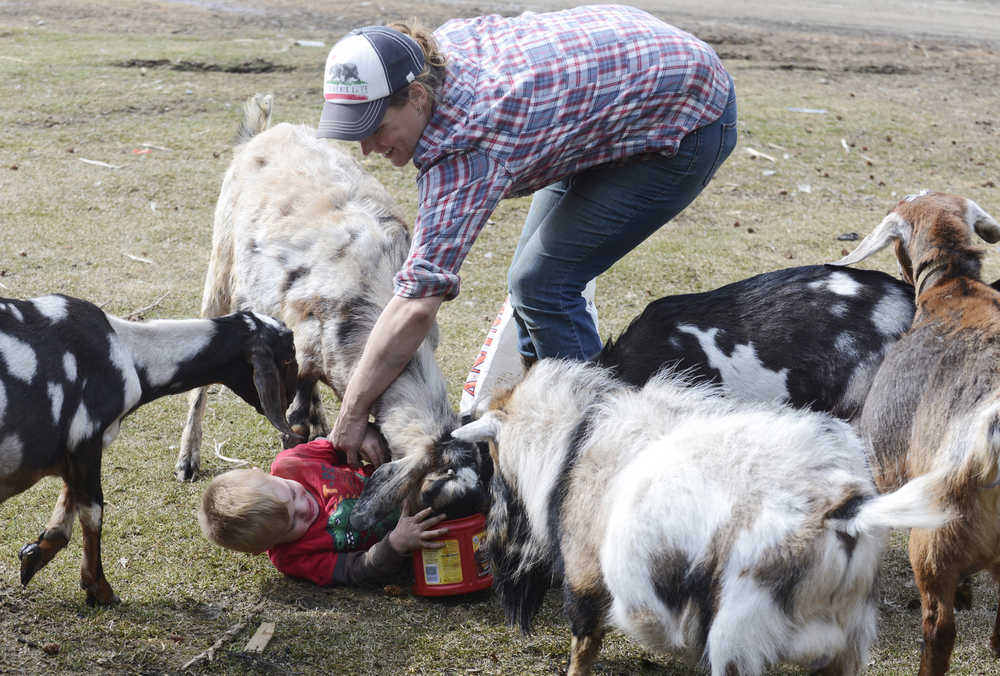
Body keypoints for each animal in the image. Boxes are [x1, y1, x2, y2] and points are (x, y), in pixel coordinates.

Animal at [0, 296, 296, 608]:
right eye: (288, 356)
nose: (291, 401)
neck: (130, 351)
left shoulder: (78, 446)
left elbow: (69, 503)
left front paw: (35, 555)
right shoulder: (86, 437)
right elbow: (93, 512)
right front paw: (100, 589)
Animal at [456, 362, 952, 676]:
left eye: (492, 452)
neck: (575, 441)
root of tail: (844, 508)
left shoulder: (584, 576)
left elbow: (584, 643)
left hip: (736, 636)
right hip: (846, 640)